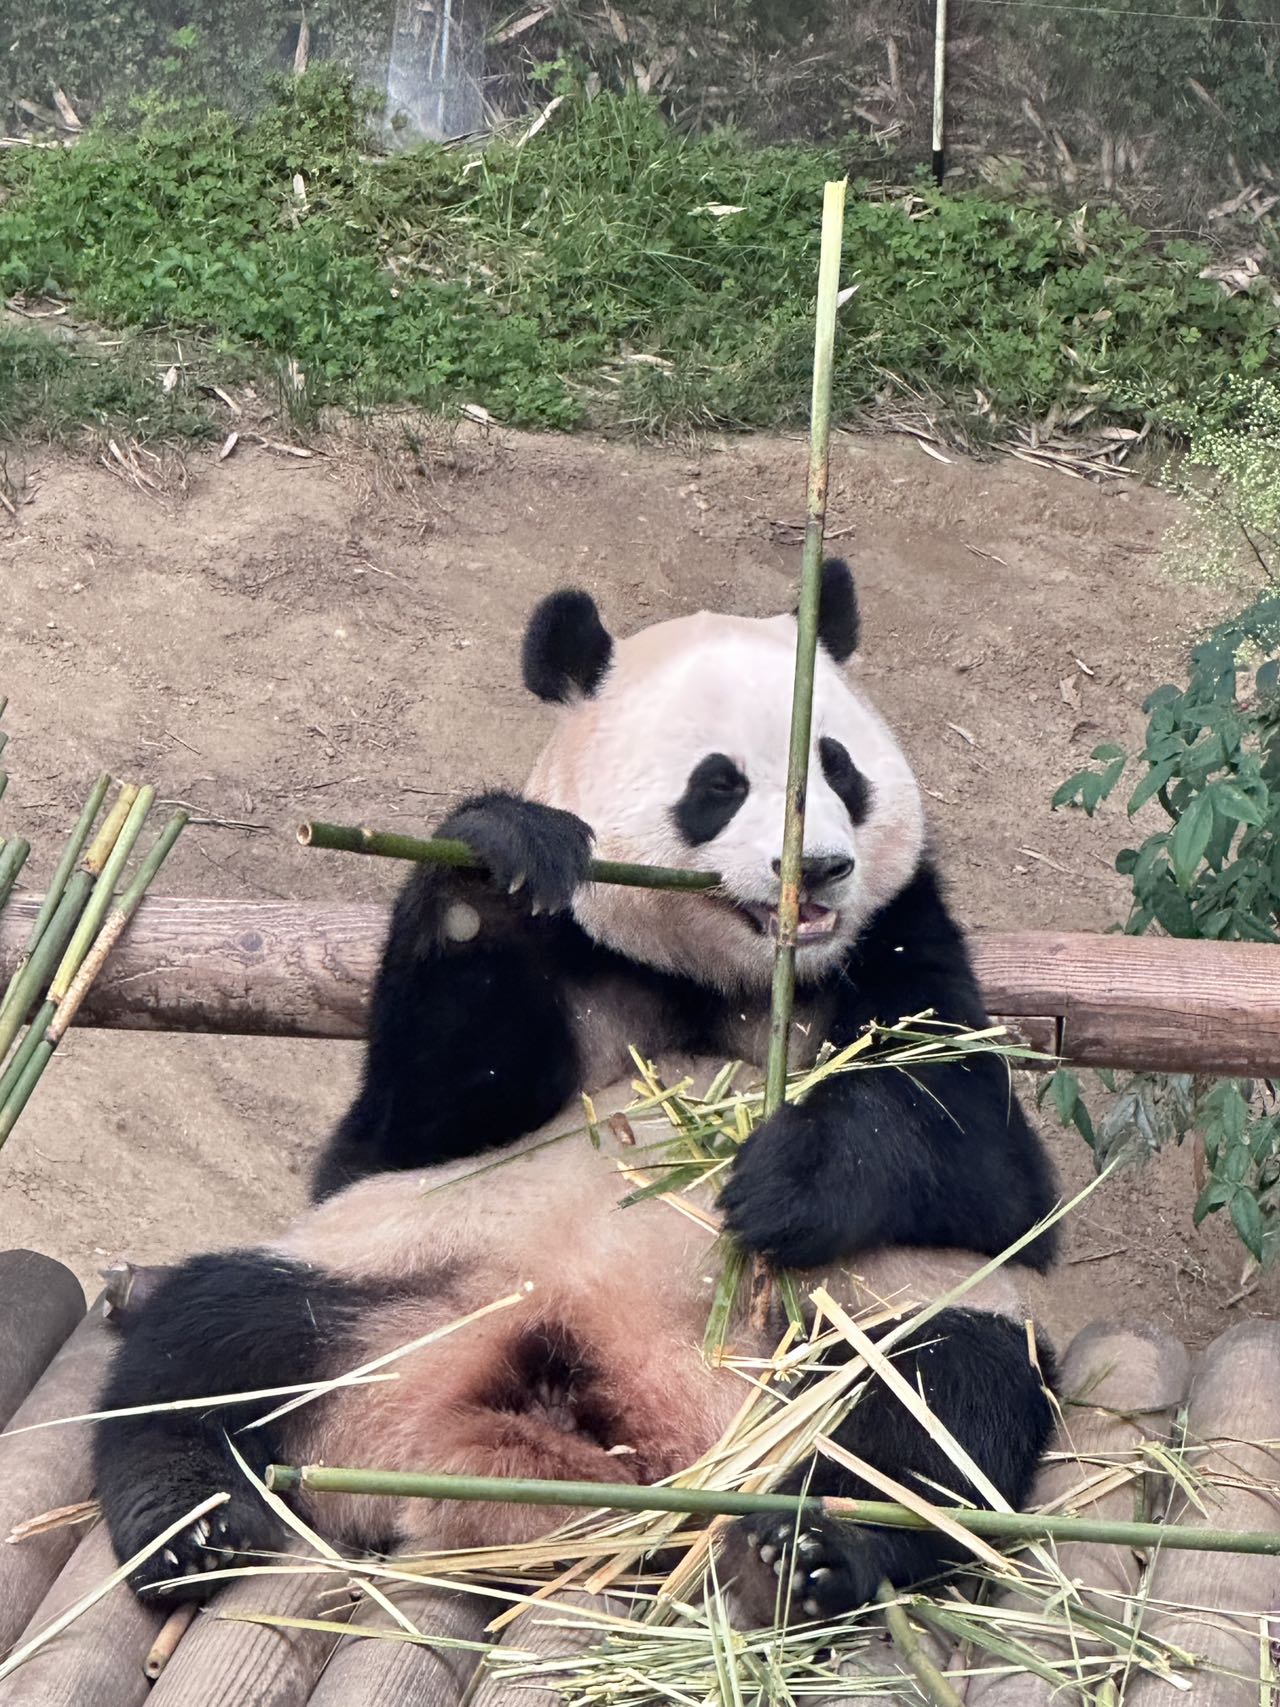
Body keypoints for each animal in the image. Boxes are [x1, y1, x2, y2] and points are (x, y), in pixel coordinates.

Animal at [94, 559, 1060, 1623]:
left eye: (840, 769)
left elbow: (987, 1166)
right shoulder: (566, 963)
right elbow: (406, 1126)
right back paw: (188, 1520)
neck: (712, 980)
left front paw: (781, 1182)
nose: (821, 868)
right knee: (210, 1337)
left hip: (843, 1321)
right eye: (720, 785)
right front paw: (494, 865)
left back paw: (809, 1549)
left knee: (936, 1401)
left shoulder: (901, 943)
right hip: (395, 1271)